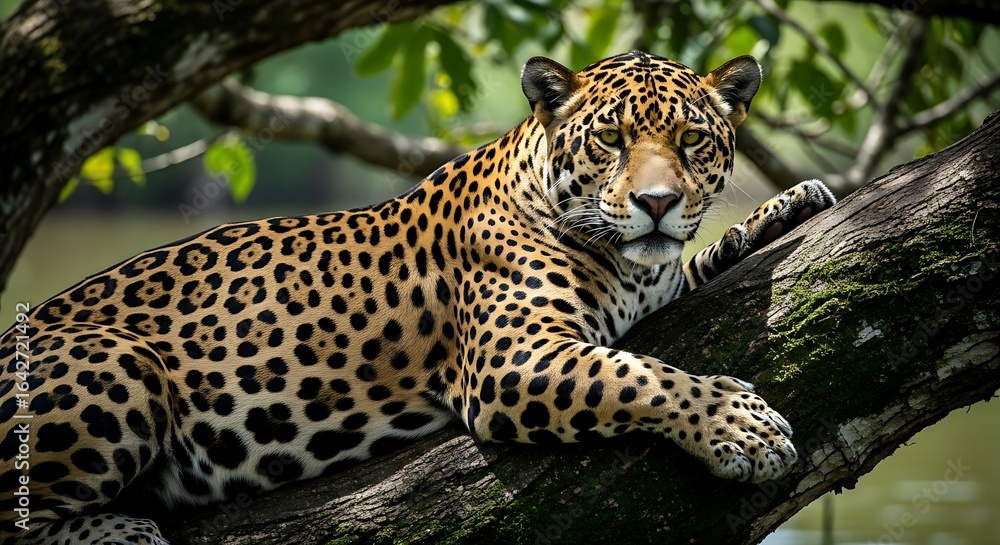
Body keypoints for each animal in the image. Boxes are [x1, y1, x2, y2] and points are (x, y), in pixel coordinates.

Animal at [0, 50, 835, 544]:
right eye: (611, 141)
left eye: (692, 141)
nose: (658, 202)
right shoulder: (511, 361)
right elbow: (641, 375)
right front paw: (741, 426)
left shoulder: (651, 288)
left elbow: (698, 266)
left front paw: (788, 204)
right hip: (121, 363)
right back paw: (121, 530)